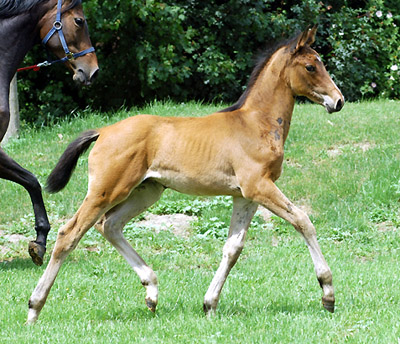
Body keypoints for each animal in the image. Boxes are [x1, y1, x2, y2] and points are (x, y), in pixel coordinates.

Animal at [27, 26, 344, 322]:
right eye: (311, 66)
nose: (338, 101)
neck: (256, 124)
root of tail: (103, 131)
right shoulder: (259, 186)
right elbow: (303, 221)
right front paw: (328, 293)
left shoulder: (245, 196)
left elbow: (233, 247)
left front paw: (210, 304)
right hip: (106, 191)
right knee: (69, 234)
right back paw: (34, 307)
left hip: (147, 191)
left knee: (110, 225)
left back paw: (151, 292)